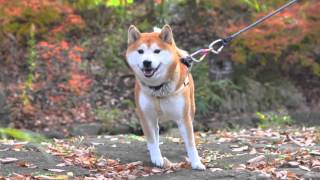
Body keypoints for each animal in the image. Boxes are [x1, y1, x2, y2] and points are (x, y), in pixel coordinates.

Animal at [125, 24, 205, 170]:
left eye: (157, 51)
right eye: (140, 51)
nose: (146, 62)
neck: (158, 89)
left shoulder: (184, 118)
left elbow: (191, 143)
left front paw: (196, 163)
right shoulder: (145, 116)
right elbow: (151, 140)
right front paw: (157, 158)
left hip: (191, 110)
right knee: (155, 133)